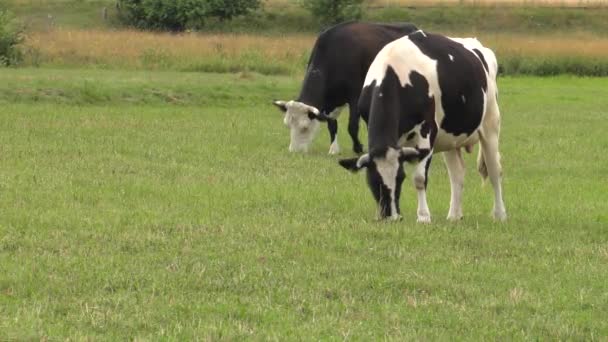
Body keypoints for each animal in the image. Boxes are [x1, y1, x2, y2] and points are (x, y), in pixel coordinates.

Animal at [274, 21, 416, 155]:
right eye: (287, 125)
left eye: (305, 127)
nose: (294, 151)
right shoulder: (329, 102)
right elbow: (332, 125)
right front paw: (334, 149)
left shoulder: (355, 96)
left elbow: (352, 126)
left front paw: (358, 148)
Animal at [340, 29, 506, 222]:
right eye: (373, 181)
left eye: (400, 178)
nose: (392, 217)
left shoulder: (427, 132)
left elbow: (419, 179)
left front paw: (423, 217)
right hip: (450, 136)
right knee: (457, 174)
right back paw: (454, 216)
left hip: (491, 124)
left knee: (494, 170)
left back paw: (500, 214)